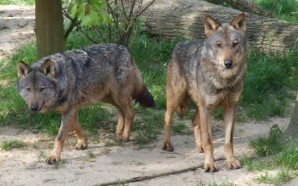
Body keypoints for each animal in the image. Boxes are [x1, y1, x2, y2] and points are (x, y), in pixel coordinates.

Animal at [17, 43, 155, 164]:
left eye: (42, 89)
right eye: (28, 89)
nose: (33, 107)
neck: (63, 79)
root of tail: (125, 49)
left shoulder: (69, 111)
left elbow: (59, 137)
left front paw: (54, 156)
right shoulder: (72, 110)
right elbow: (77, 128)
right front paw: (82, 143)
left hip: (118, 96)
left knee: (130, 113)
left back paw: (125, 136)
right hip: (106, 97)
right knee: (121, 111)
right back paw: (118, 133)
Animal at [162, 13, 248, 172]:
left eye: (235, 44)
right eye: (219, 45)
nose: (228, 63)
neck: (224, 81)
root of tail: (179, 44)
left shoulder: (231, 108)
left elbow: (228, 141)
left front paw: (231, 161)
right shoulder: (206, 108)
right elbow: (209, 140)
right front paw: (209, 164)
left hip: (200, 106)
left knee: (194, 121)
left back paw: (199, 146)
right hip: (176, 99)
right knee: (167, 117)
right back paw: (167, 144)